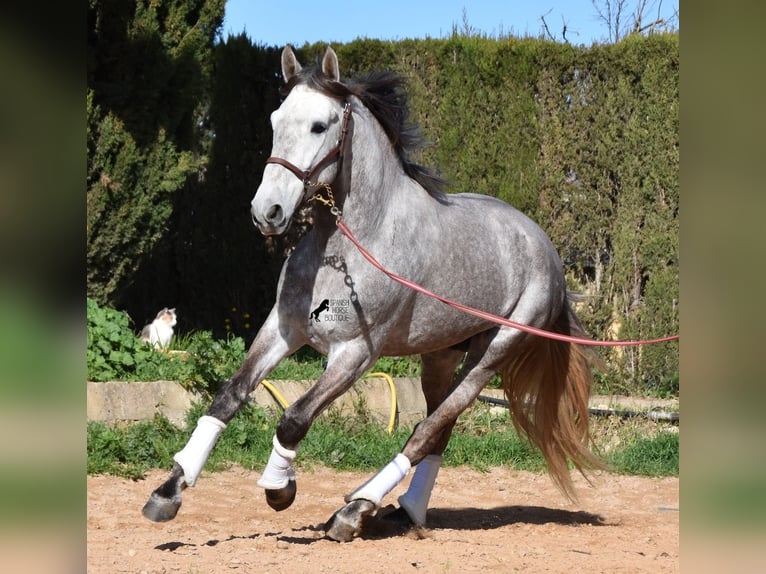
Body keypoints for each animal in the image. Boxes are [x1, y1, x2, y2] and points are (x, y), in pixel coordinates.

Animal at [141, 46, 604, 544]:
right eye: (275, 119)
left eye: (319, 125)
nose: (267, 212)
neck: (351, 242)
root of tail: (546, 251)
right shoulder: (284, 330)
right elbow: (229, 395)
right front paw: (168, 493)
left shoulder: (356, 352)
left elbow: (295, 417)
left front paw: (279, 488)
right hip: (441, 355)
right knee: (439, 430)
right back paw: (404, 512)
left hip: (493, 354)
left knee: (428, 429)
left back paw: (355, 510)